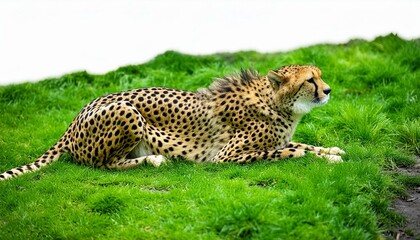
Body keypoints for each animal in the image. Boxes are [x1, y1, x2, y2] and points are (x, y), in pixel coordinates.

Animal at [0, 64, 344, 180]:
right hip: (127, 112)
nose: (328, 90)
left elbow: (303, 144)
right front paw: (326, 159)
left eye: (320, 75)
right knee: (102, 164)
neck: (278, 104)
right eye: (311, 80)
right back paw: (153, 159)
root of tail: (79, 113)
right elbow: (290, 151)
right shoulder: (226, 157)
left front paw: (332, 151)